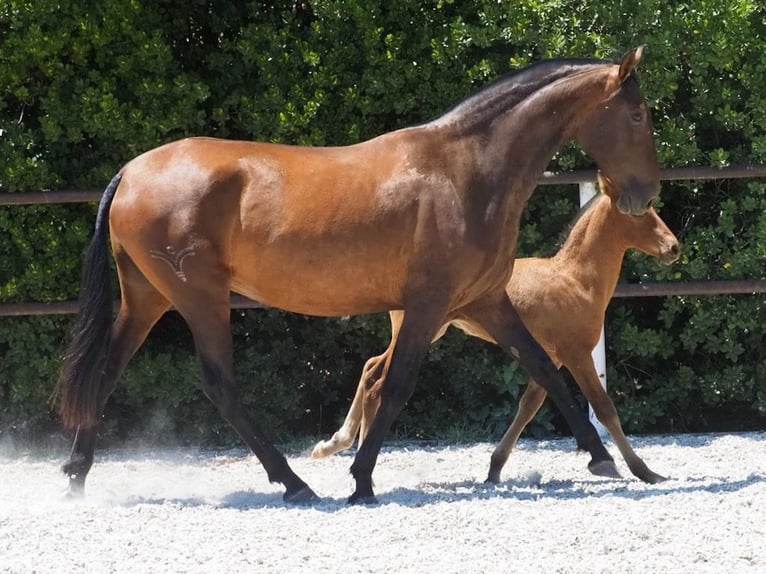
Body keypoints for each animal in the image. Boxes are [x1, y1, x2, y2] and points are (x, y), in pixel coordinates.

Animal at [312, 177, 684, 486]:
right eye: (639, 213)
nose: (674, 248)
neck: (575, 278)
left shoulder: (550, 356)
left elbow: (529, 405)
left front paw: (494, 469)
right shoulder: (576, 353)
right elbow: (605, 407)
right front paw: (642, 470)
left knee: (371, 368)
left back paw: (339, 445)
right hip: (423, 328)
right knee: (377, 378)